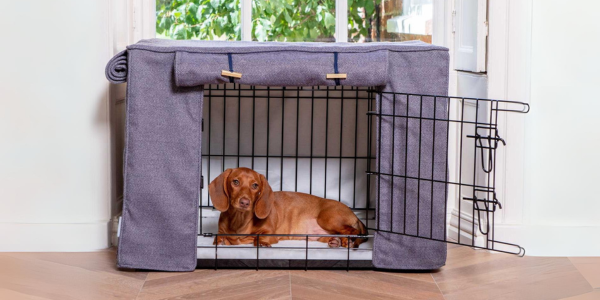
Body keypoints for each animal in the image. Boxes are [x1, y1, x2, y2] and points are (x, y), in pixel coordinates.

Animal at [211, 168, 370, 247]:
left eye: (255, 185)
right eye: (235, 182)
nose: (245, 202)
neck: (240, 220)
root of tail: (354, 214)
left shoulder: (269, 232)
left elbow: (259, 237)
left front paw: (261, 243)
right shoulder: (221, 232)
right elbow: (219, 237)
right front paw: (222, 241)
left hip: (328, 219)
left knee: (354, 231)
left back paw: (347, 241)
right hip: (322, 235)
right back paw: (336, 241)